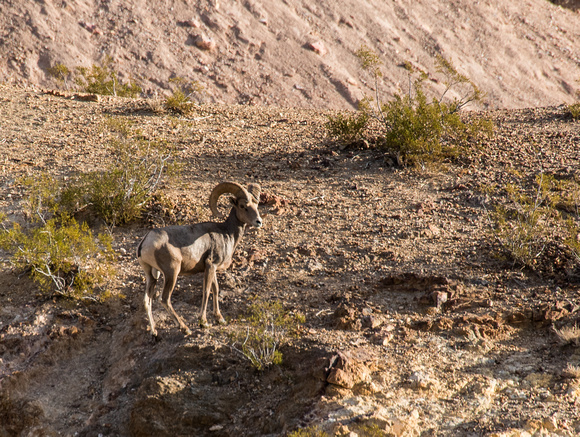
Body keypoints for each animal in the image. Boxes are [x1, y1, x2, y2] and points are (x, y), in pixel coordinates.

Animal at [137, 181, 262, 334]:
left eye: (256, 205)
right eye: (243, 206)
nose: (258, 221)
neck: (226, 233)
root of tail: (146, 241)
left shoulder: (212, 269)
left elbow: (216, 289)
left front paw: (219, 319)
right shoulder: (210, 266)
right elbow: (207, 291)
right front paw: (204, 322)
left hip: (151, 275)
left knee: (147, 300)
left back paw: (154, 332)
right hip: (172, 273)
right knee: (164, 299)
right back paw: (185, 328)